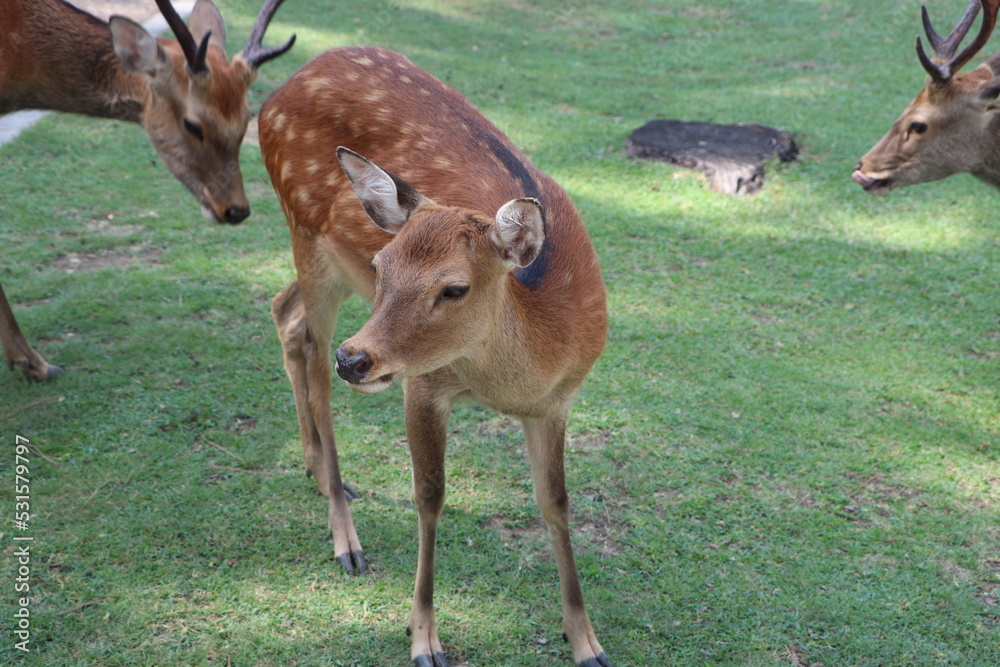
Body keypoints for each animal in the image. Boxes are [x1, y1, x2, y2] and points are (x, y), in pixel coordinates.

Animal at [259, 47, 612, 667]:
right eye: (382, 265)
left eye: (454, 288)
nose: (357, 359)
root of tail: (280, 88)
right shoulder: (422, 383)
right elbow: (430, 496)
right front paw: (423, 637)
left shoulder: (558, 402)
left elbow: (556, 502)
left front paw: (586, 641)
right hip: (307, 235)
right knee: (314, 359)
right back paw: (345, 537)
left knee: (285, 312)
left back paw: (319, 470)